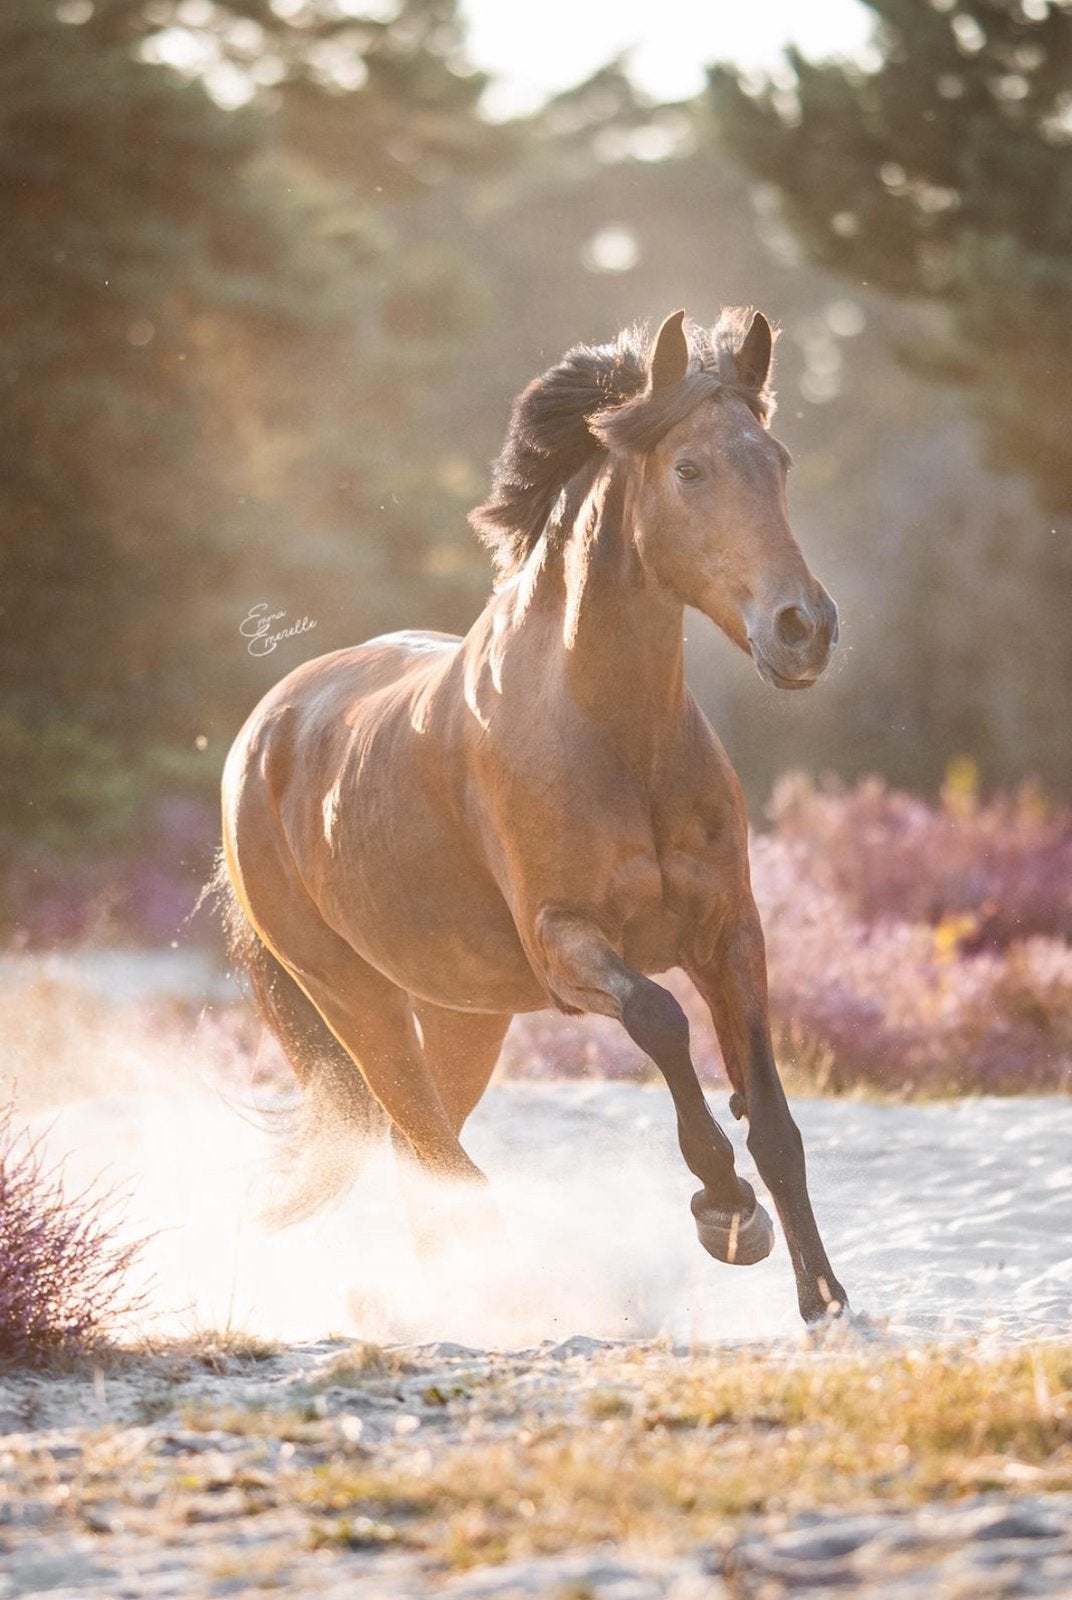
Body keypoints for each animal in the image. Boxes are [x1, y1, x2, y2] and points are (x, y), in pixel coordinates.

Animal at [218, 307, 847, 1325]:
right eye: (690, 469)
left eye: (778, 461)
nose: (805, 630)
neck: (610, 734)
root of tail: (261, 735)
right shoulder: (565, 943)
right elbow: (662, 1021)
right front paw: (725, 1211)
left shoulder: (730, 933)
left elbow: (776, 1121)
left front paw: (824, 1300)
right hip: (357, 1001)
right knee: (436, 1156)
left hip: (461, 1015)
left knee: (424, 1153)